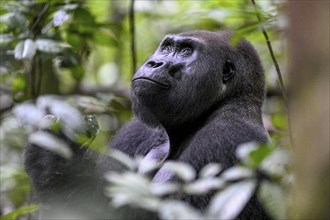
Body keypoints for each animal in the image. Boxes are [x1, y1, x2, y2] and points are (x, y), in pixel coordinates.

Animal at [23, 30, 270, 219]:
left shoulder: (226, 138)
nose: (154, 62)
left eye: (186, 51)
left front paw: (53, 155)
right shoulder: (137, 130)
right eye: (166, 48)